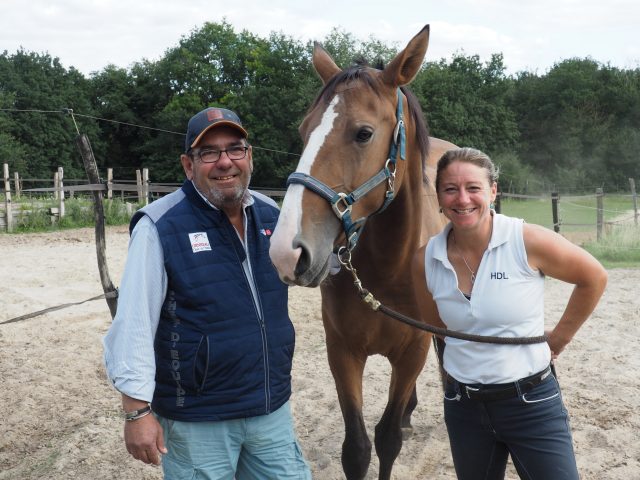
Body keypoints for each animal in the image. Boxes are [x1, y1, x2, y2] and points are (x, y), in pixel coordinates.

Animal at [268, 27, 456, 480]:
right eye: (303, 131)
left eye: (364, 133)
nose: (286, 251)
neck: (388, 269)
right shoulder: (343, 352)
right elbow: (356, 448)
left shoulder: (411, 352)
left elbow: (387, 441)